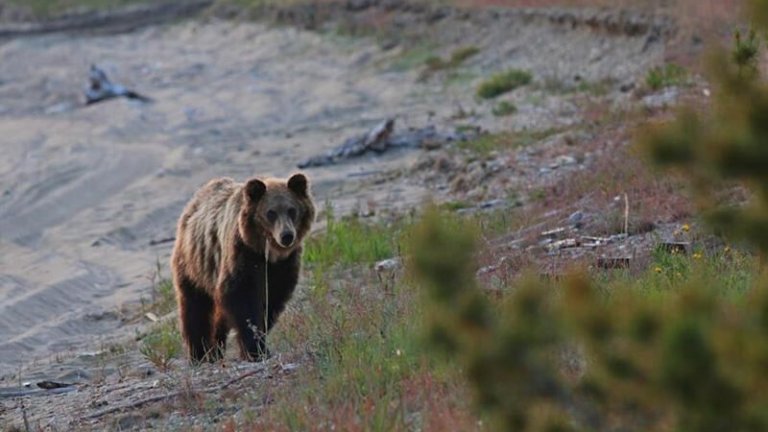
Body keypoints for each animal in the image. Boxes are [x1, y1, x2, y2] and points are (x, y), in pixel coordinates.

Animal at [171, 172, 316, 362]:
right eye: (271, 213)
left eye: (292, 210)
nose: (286, 236)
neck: (267, 253)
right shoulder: (243, 256)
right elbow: (243, 300)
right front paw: (255, 349)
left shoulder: (282, 267)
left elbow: (272, 301)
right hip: (194, 264)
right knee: (194, 307)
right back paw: (199, 353)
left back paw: (216, 348)